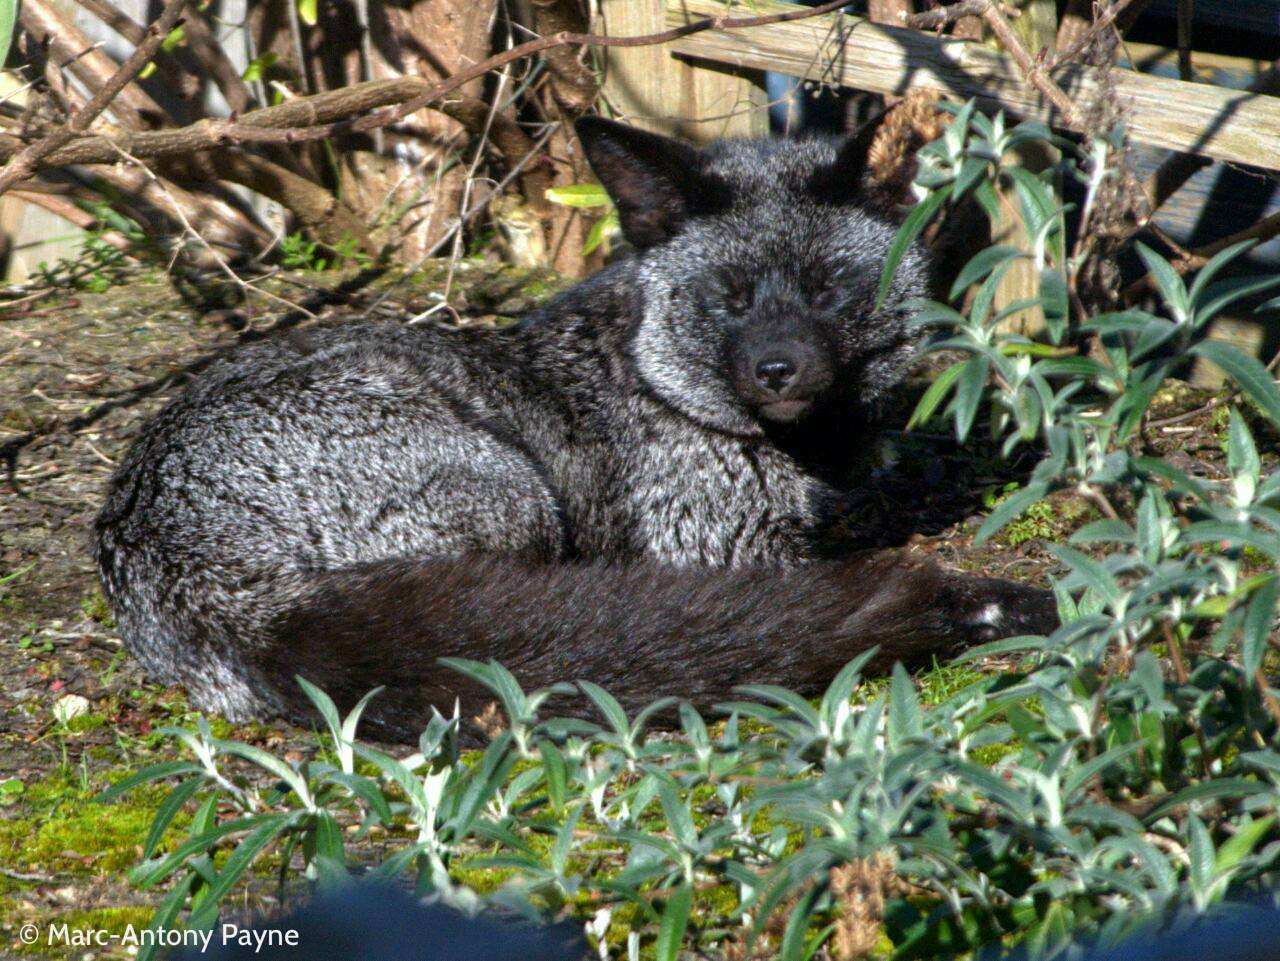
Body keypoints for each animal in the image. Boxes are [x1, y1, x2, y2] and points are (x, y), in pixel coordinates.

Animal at [93, 116, 1057, 743]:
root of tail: (193, 571)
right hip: (513, 500)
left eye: (825, 290)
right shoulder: (718, 549)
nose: (778, 370)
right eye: (730, 298)